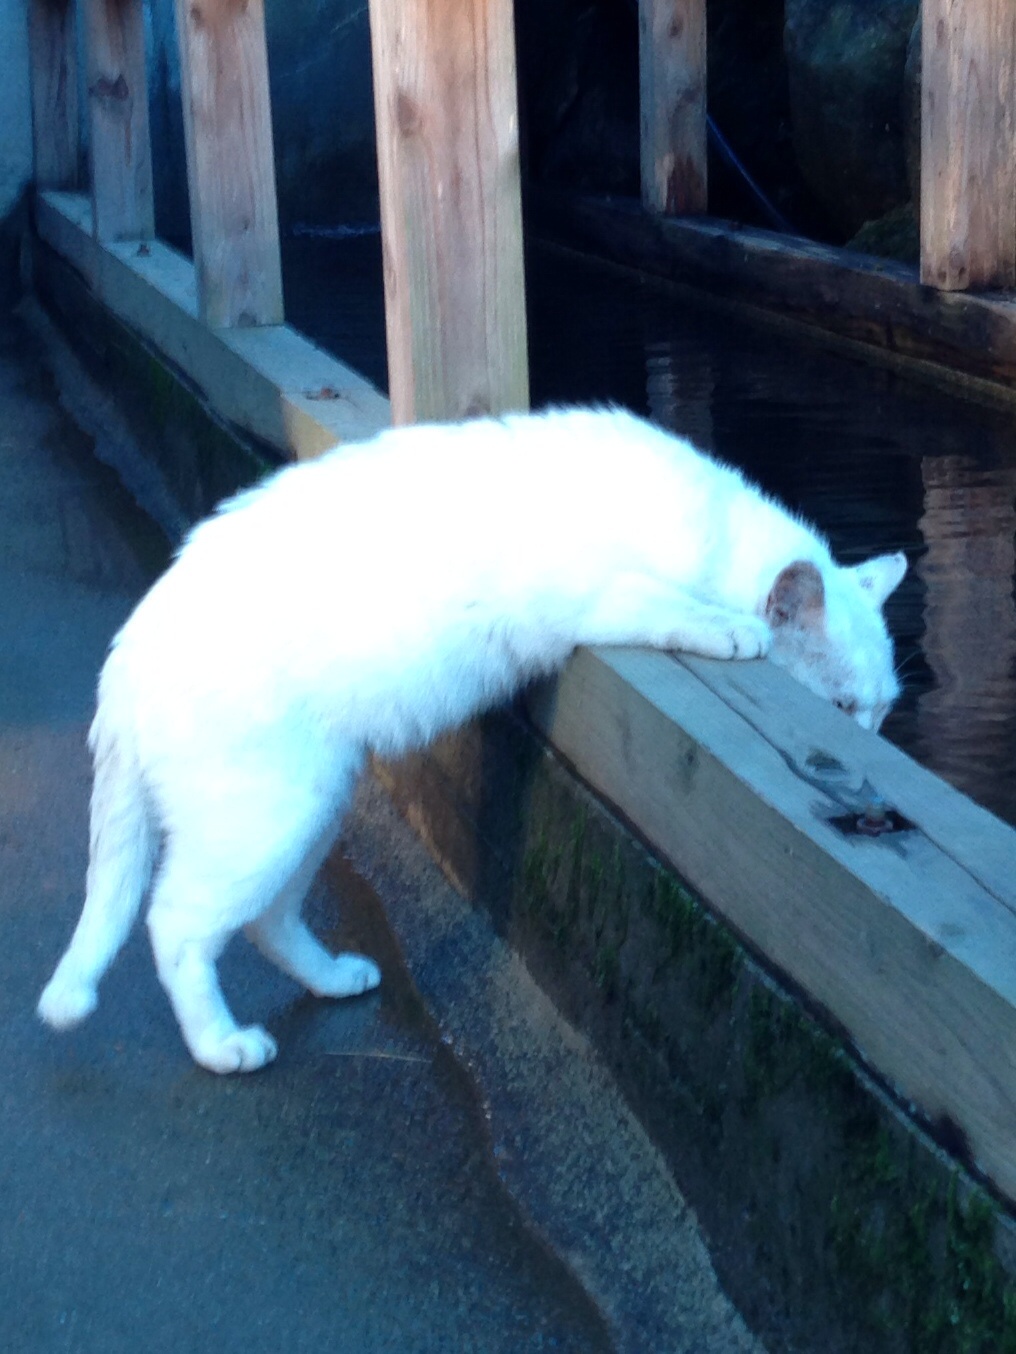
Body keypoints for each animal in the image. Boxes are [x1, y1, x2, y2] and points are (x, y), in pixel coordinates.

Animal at [37, 406, 906, 1074]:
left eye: (880, 714)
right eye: (842, 708)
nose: (868, 745)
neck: (715, 529)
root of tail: (126, 652)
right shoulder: (603, 590)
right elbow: (670, 604)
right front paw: (732, 630)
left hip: (309, 804)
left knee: (266, 918)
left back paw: (333, 978)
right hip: (264, 816)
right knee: (175, 925)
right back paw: (223, 1046)